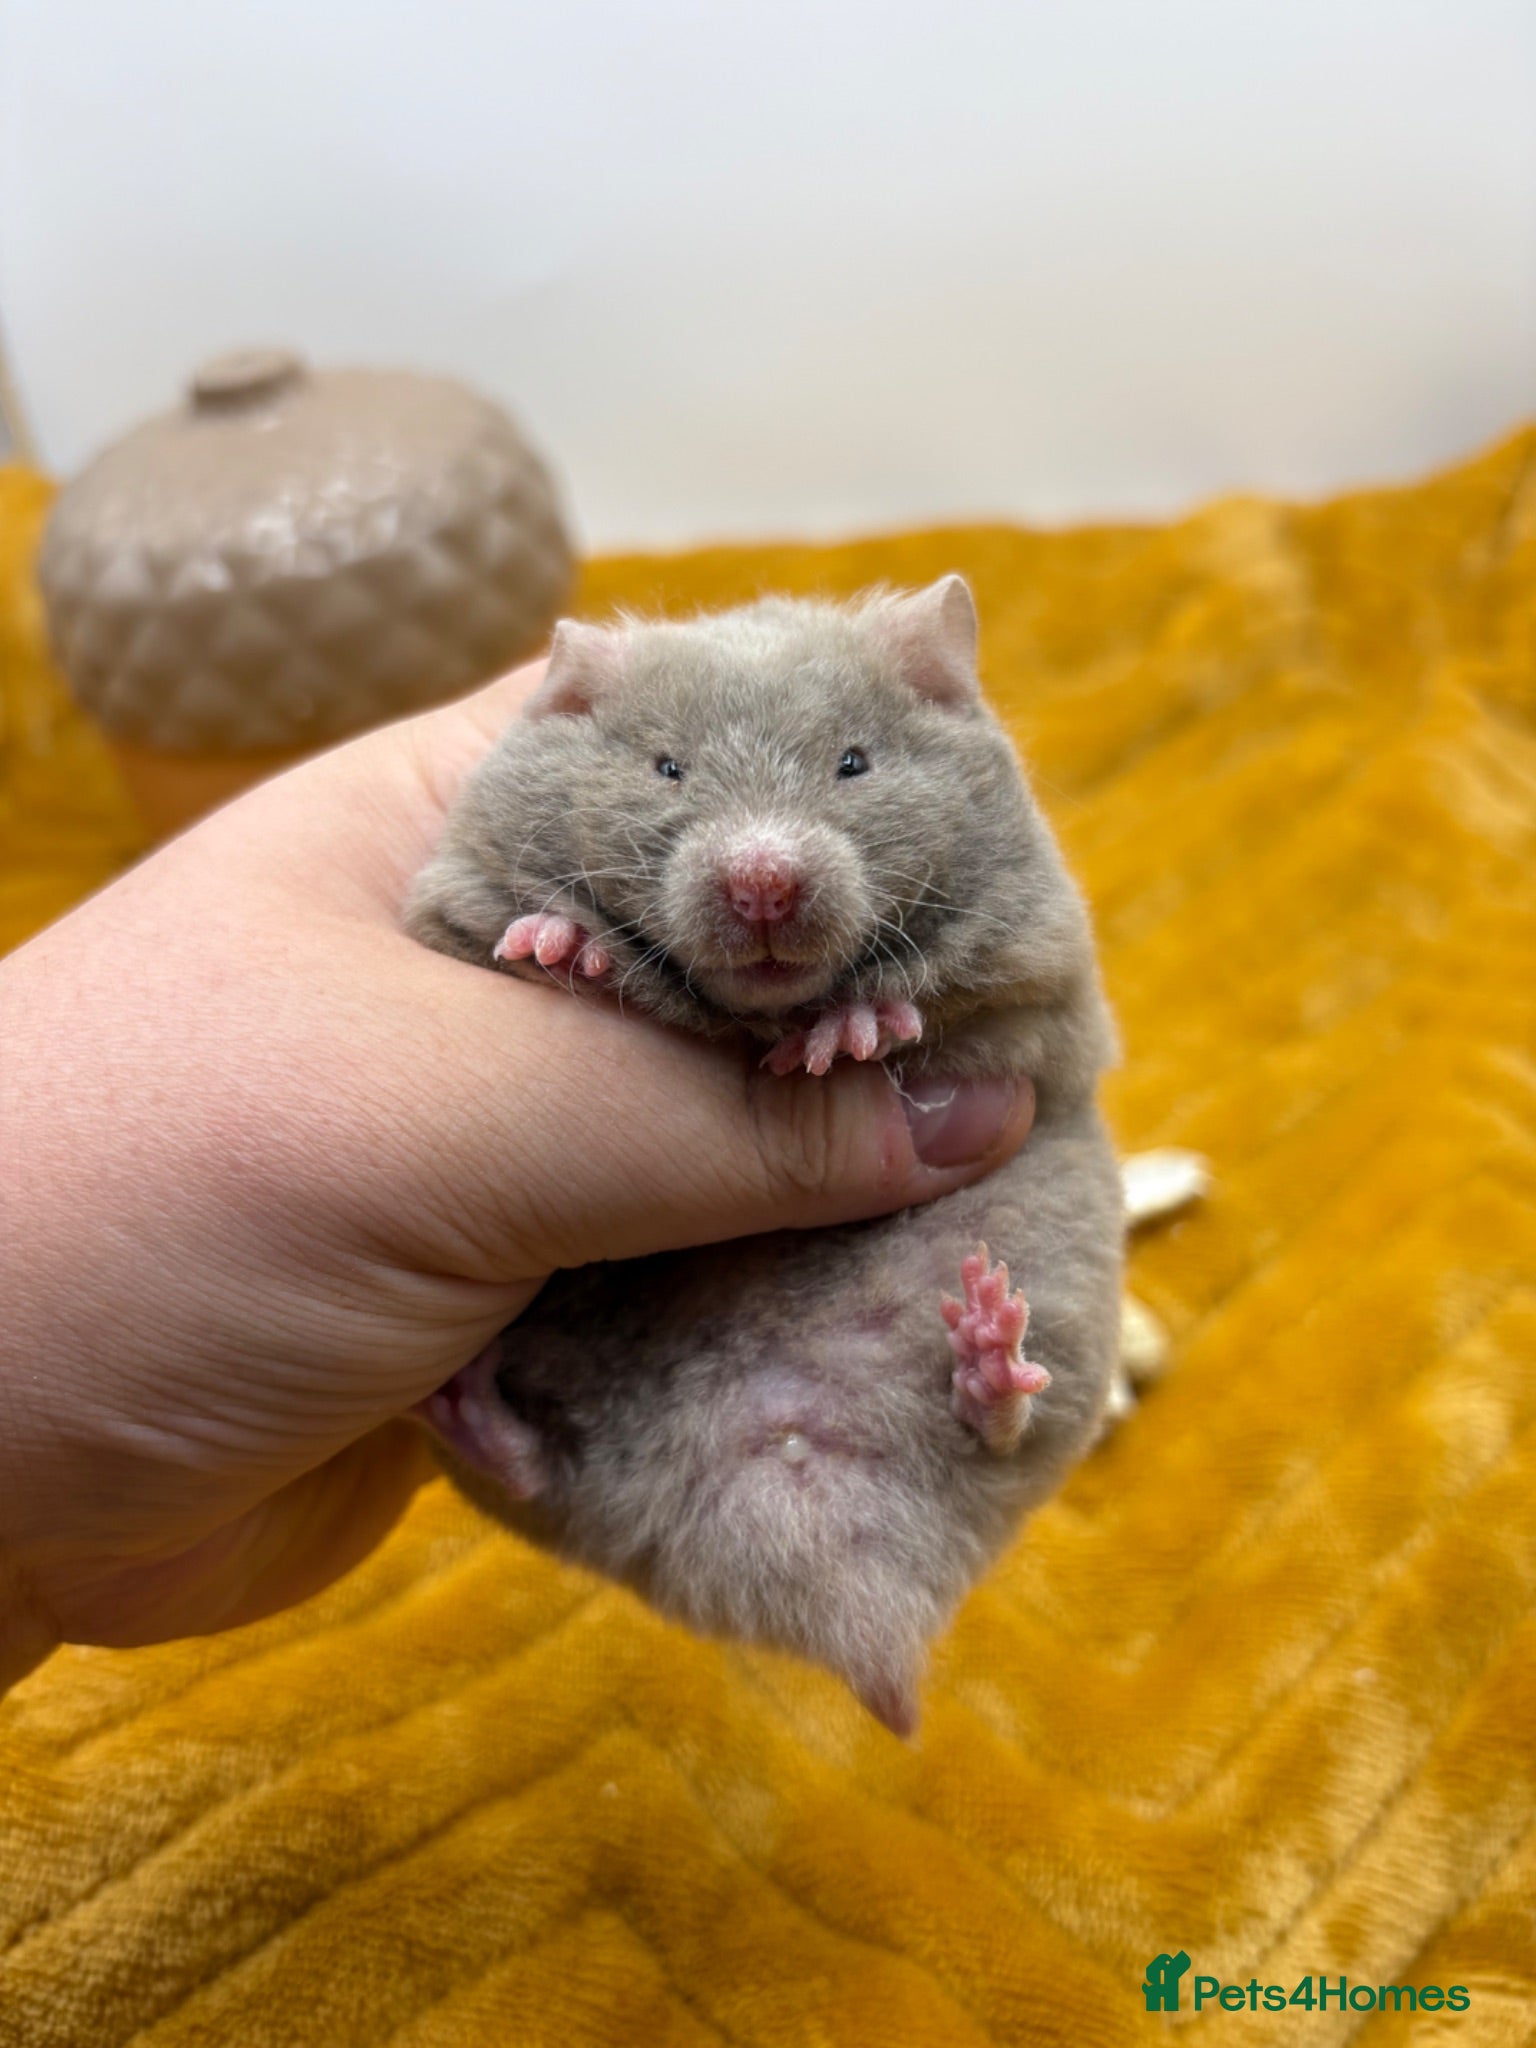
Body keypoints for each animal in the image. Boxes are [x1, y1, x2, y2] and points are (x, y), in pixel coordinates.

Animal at [404, 576, 1123, 1733]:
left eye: (854, 763)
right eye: (667, 767)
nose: (764, 886)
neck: (751, 1014)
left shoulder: (1045, 982)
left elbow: (939, 1005)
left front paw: (851, 1034)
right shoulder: (444, 908)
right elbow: (514, 935)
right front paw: (564, 945)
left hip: (1061, 1310)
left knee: (1001, 1430)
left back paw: (985, 1341)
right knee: (534, 1472)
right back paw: (471, 1406)